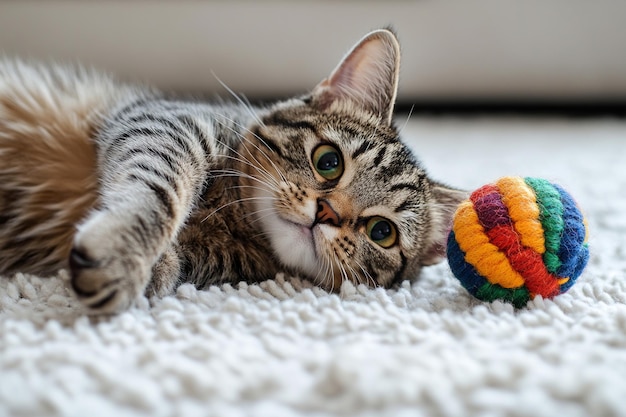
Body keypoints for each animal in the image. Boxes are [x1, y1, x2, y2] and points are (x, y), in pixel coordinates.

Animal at [0, 28, 466, 312]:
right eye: (329, 161)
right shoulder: (165, 124)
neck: (231, 220)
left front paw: (158, 266)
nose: (326, 213)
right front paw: (126, 253)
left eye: (382, 232)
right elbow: (160, 192)